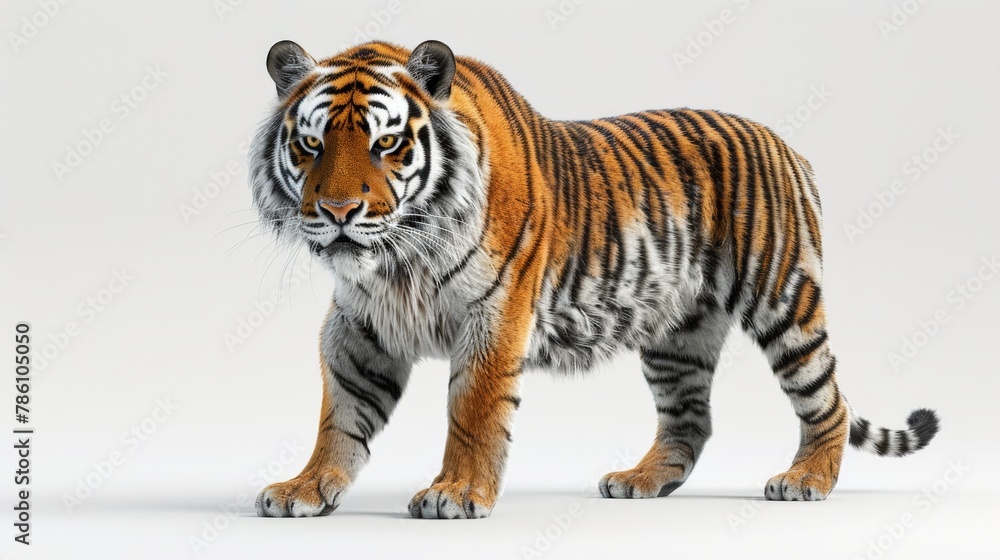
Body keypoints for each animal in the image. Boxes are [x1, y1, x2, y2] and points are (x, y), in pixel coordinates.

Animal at [248, 39, 939, 519]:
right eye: (311, 145)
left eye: (386, 144)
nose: (339, 211)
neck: (397, 263)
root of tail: (787, 146)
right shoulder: (358, 325)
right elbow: (340, 413)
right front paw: (306, 487)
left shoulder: (494, 314)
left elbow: (472, 411)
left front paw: (457, 493)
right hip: (676, 334)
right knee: (690, 419)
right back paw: (640, 482)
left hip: (782, 299)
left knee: (827, 400)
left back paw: (805, 481)